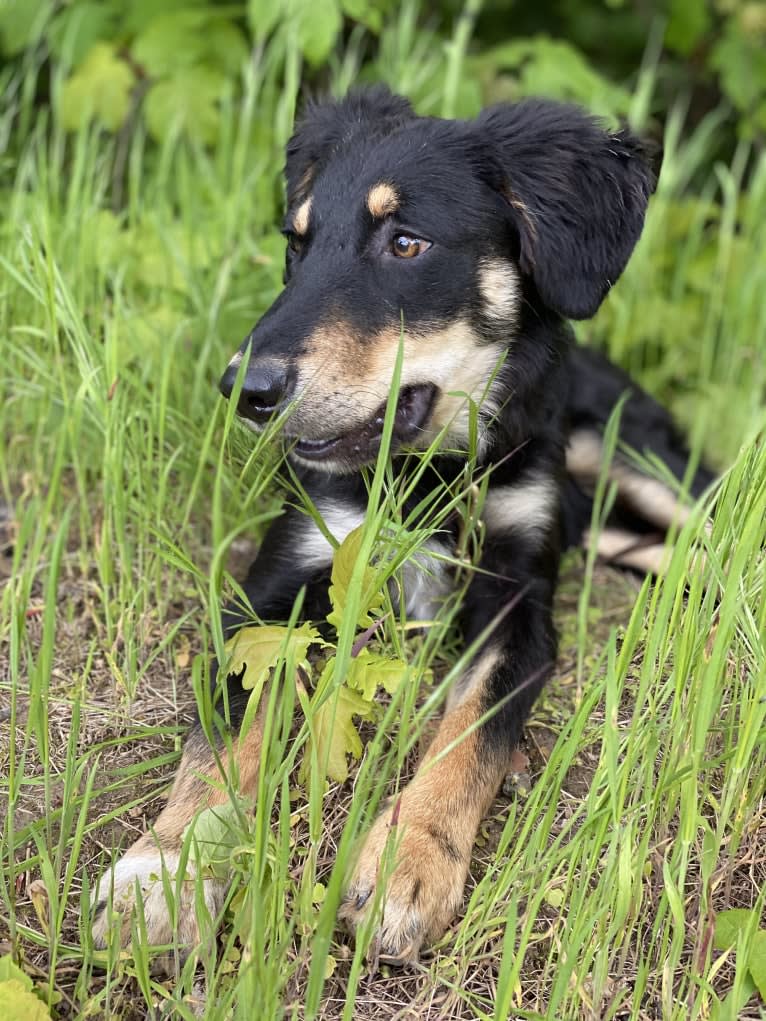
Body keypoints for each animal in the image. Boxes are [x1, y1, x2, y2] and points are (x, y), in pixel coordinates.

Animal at [92, 85, 719, 963]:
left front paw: (409, 858)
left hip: (631, 451)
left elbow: (470, 732)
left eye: (406, 242)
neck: (424, 473)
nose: (244, 390)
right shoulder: (274, 589)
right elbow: (221, 738)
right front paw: (167, 869)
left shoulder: (519, 602)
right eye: (297, 244)